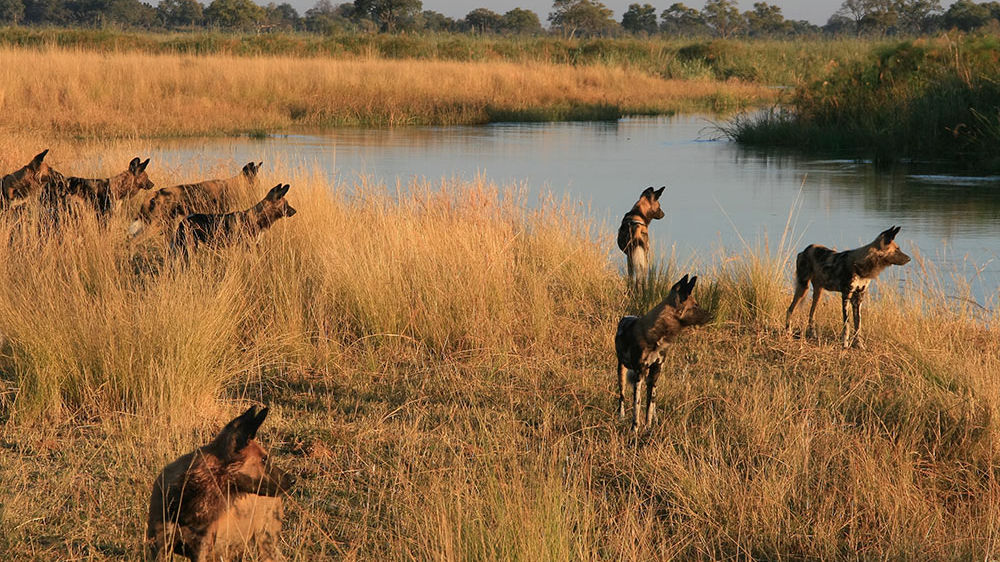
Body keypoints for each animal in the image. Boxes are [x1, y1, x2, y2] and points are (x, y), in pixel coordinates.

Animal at [612, 274, 708, 430]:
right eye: (695, 305)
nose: (711, 315)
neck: (657, 335)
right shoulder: (639, 374)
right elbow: (636, 405)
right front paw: (635, 428)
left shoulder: (655, 371)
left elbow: (649, 407)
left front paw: (648, 427)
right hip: (621, 370)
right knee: (622, 396)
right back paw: (621, 417)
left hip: (651, 378)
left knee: (653, 402)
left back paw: (655, 419)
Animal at [784, 225, 912, 348]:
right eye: (897, 250)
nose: (909, 258)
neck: (863, 265)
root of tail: (805, 250)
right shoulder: (846, 295)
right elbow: (847, 324)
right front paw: (845, 345)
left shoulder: (858, 298)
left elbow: (858, 324)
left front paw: (859, 345)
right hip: (803, 289)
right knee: (790, 309)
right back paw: (788, 332)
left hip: (818, 293)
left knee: (811, 313)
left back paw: (813, 335)